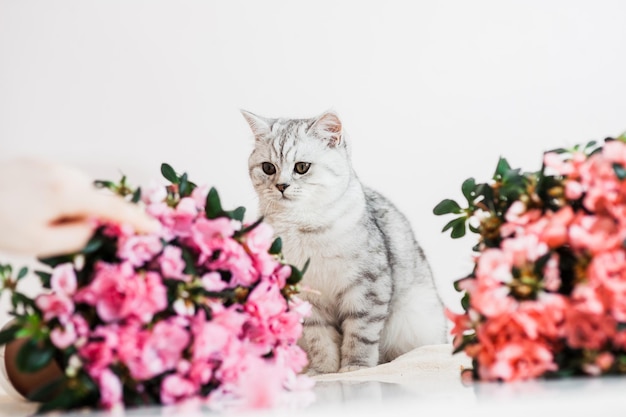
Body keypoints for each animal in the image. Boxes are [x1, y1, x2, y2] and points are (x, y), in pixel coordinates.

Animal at [240, 108, 448, 374]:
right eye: (267, 168)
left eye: (302, 167)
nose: (281, 186)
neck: (302, 226)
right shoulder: (306, 296)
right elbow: (320, 339)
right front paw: (324, 371)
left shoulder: (367, 287)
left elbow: (360, 334)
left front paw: (354, 368)